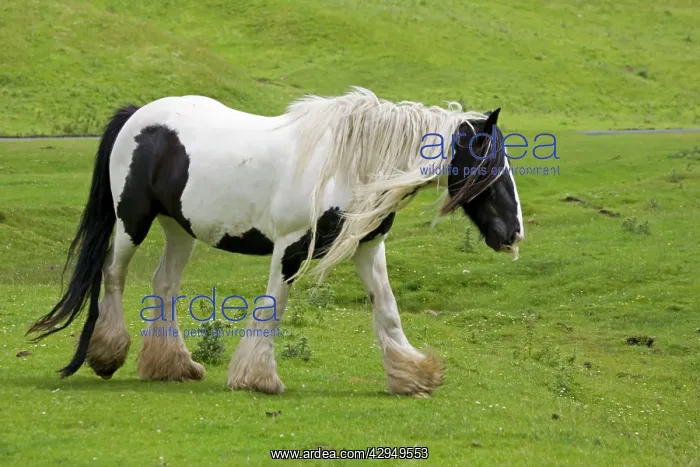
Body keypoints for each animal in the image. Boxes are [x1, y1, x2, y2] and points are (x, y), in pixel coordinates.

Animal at [27, 87, 524, 397]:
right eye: (490, 163)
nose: (513, 234)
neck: (348, 165)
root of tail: (137, 116)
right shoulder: (290, 247)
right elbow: (273, 307)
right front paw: (257, 378)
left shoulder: (367, 246)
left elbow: (386, 309)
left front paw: (413, 377)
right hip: (133, 221)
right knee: (114, 273)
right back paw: (108, 355)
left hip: (179, 229)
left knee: (164, 285)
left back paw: (172, 366)